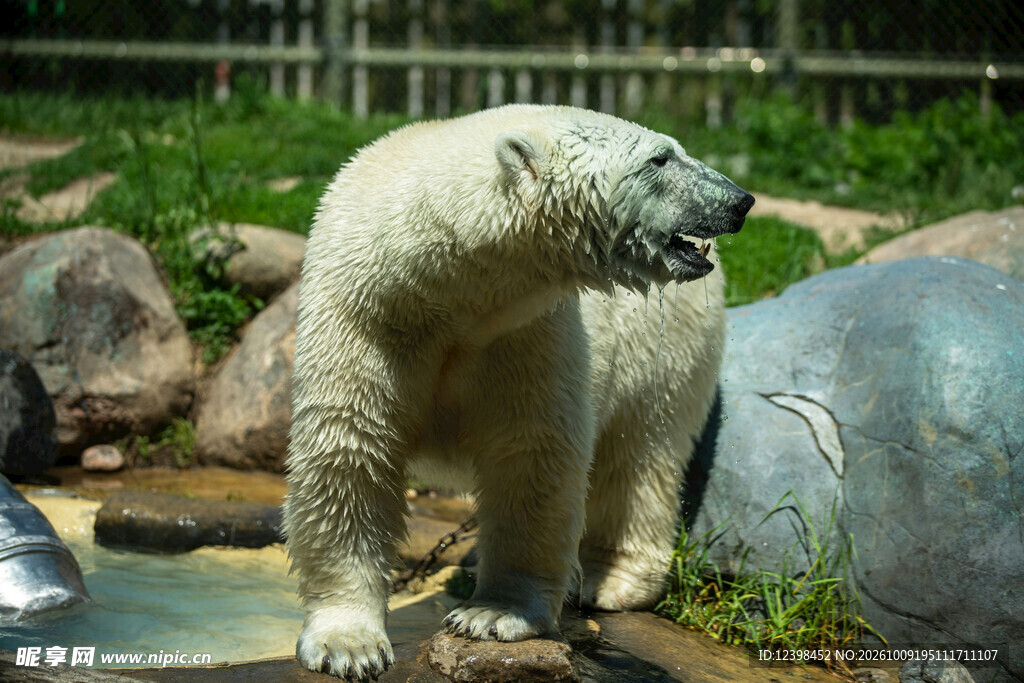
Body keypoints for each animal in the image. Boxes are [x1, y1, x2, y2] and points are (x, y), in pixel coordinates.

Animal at [282, 104, 753, 679]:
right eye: (660, 158)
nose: (739, 200)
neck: (439, 289)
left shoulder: (526, 332)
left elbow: (531, 458)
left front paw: (492, 615)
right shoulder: (364, 317)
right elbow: (349, 452)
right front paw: (348, 645)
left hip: (665, 347)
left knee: (640, 455)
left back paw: (611, 580)